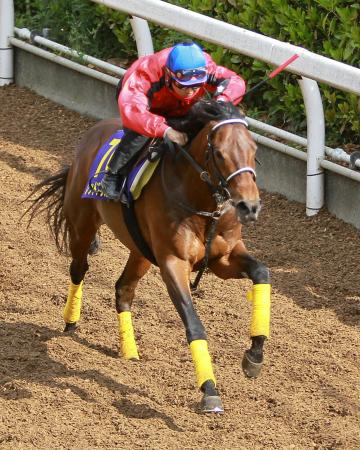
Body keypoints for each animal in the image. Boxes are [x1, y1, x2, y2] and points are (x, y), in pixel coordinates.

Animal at [26, 100, 272, 414]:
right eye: (219, 152)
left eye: (254, 149)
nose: (249, 206)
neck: (200, 203)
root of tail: (93, 133)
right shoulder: (173, 263)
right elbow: (194, 324)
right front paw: (209, 391)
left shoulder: (223, 258)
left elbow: (261, 272)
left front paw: (254, 355)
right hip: (82, 227)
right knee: (78, 269)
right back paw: (71, 320)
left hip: (140, 252)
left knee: (123, 289)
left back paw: (129, 350)